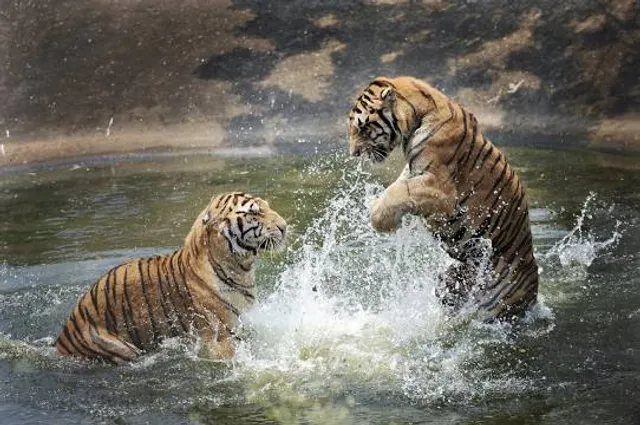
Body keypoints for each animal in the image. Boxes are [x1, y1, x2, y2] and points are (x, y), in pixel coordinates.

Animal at [348, 76, 539, 321]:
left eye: (362, 128)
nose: (353, 153)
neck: (418, 115)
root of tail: (534, 292)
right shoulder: (414, 172)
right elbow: (398, 186)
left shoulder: (441, 189)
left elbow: (399, 191)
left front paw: (382, 221)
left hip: (497, 303)